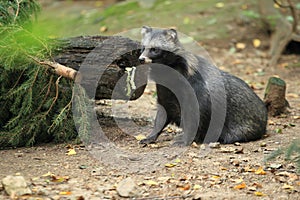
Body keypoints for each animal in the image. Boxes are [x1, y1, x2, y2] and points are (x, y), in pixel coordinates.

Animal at [138, 25, 268, 146]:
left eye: (155, 49)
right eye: (143, 48)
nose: (141, 59)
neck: (168, 73)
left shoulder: (194, 89)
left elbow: (196, 115)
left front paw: (186, 139)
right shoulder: (165, 90)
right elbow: (162, 113)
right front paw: (151, 136)